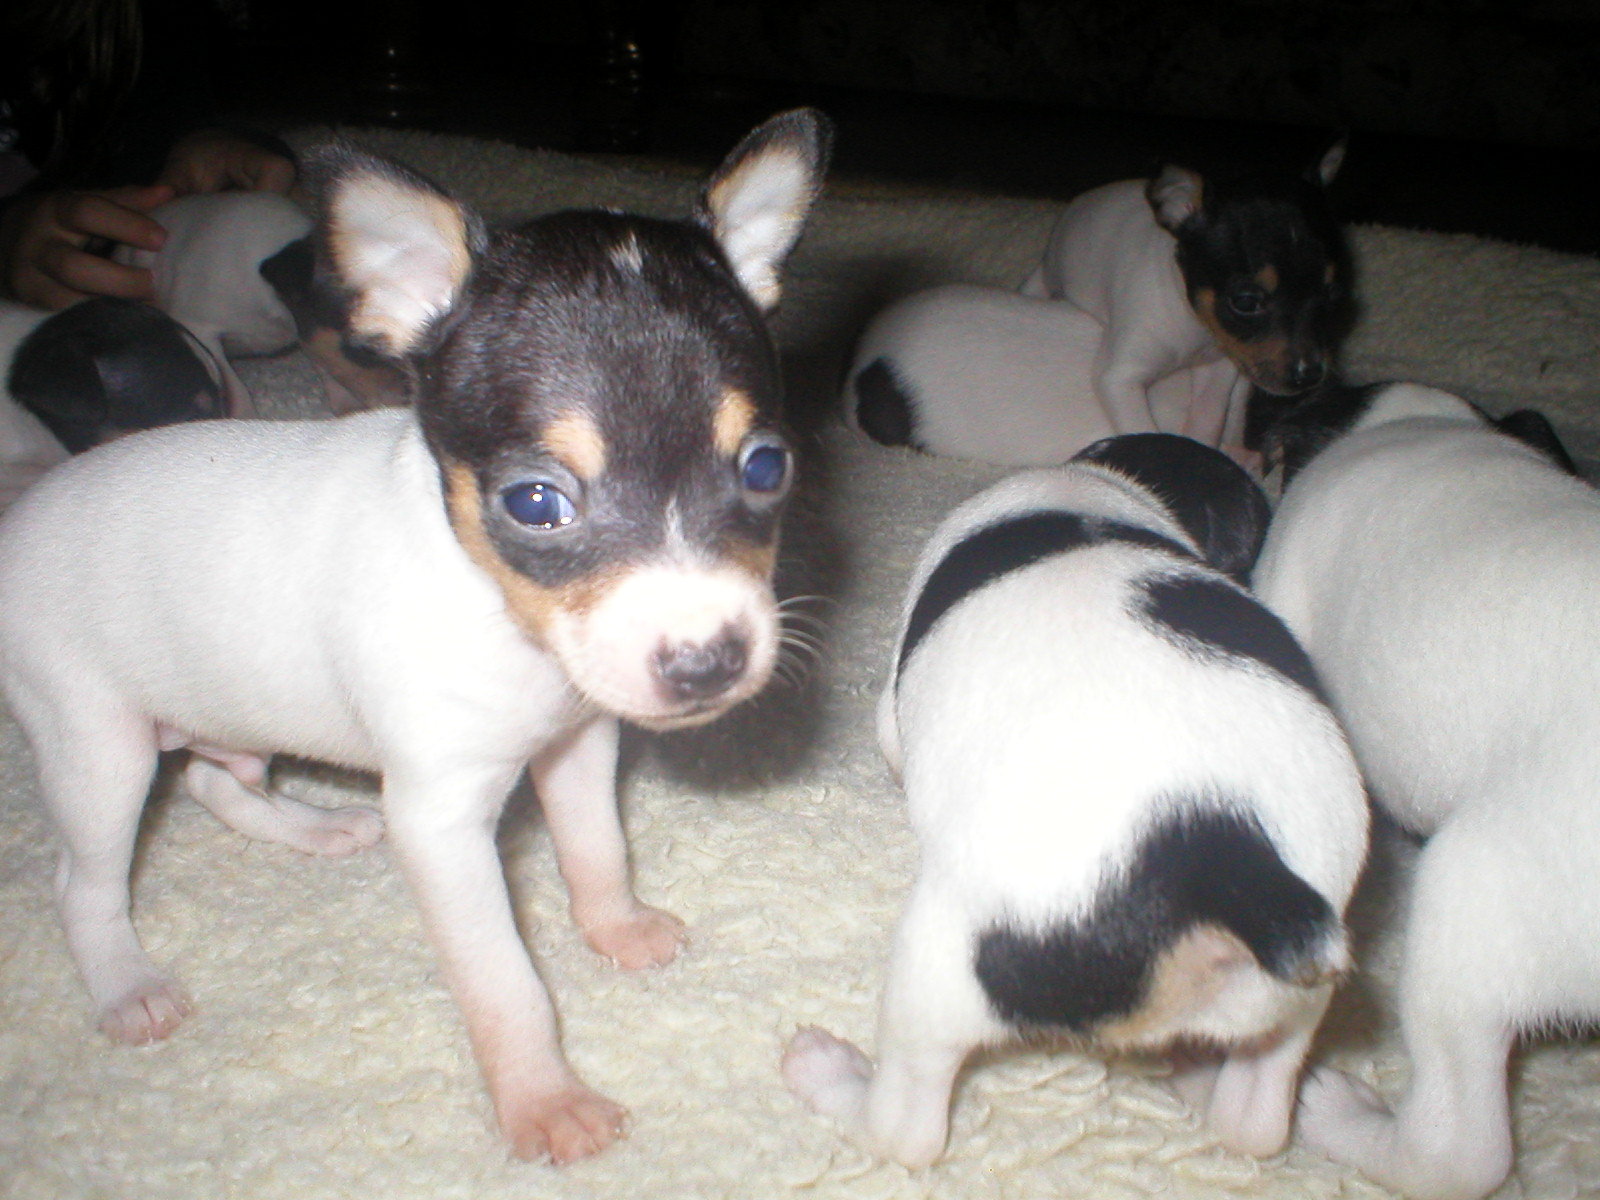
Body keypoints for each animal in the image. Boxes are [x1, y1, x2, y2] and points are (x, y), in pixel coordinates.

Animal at [0, 110, 832, 1164]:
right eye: (535, 503)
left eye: (767, 469)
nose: (707, 664)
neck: (494, 606)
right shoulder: (441, 824)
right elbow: (506, 984)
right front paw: (543, 1102)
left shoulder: (577, 744)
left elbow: (598, 848)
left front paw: (617, 928)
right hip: (95, 745)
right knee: (85, 878)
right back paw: (127, 985)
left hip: (229, 714)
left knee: (215, 780)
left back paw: (315, 827)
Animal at [784, 438, 1363, 1171]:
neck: (1091, 484)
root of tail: (1222, 848)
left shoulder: (891, 715)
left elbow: (890, 736)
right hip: (1297, 1000)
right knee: (1253, 1121)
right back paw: (1203, 1082)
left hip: (938, 972)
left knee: (906, 1128)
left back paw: (832, 1077)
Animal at [1017, 145, 1344, 448]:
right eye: (1246, 302)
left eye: (1332, 293)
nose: (1310, 375)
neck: (1192, 320)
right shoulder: (1120, 378)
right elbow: (1143, 428)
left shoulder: (1221, 361)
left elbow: (1210, 415)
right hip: (1042, 280)